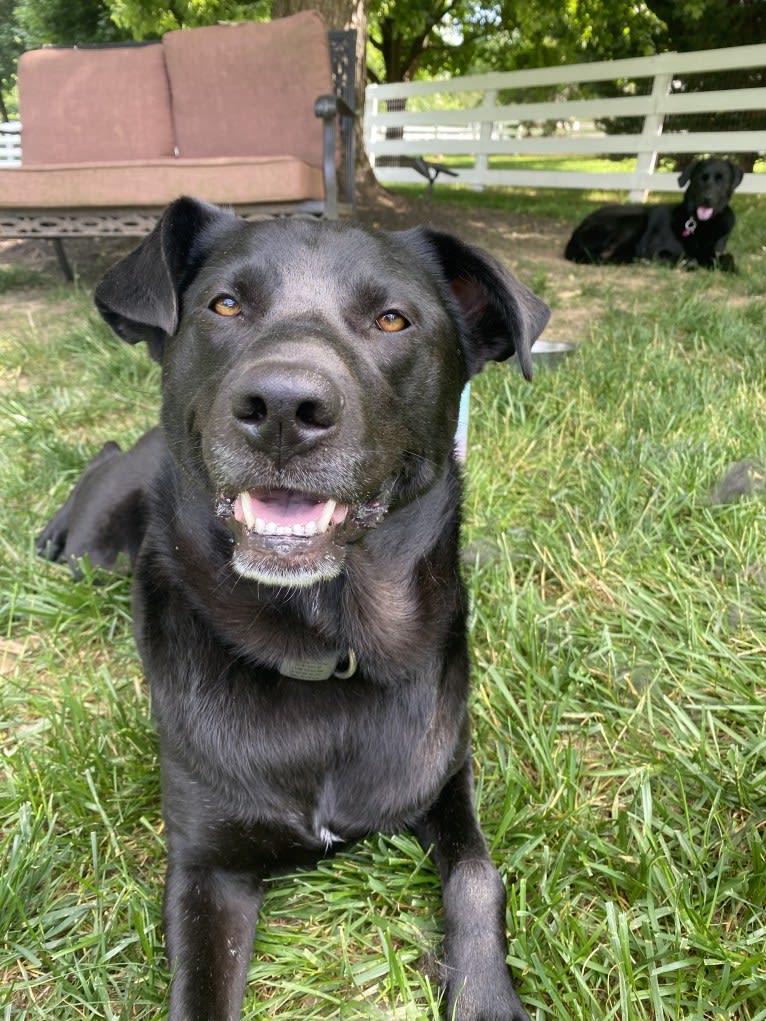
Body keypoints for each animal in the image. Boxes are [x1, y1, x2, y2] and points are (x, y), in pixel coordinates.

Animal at [563, 157, 743, 273]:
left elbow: (728, 257)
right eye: (701, 178)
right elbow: (681, 257)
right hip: (634, 220)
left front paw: (729, 267)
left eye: (722, 179)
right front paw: (688, 262)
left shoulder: (717, 251)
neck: (700, 223)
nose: (707, 199)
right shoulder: (657, 250)